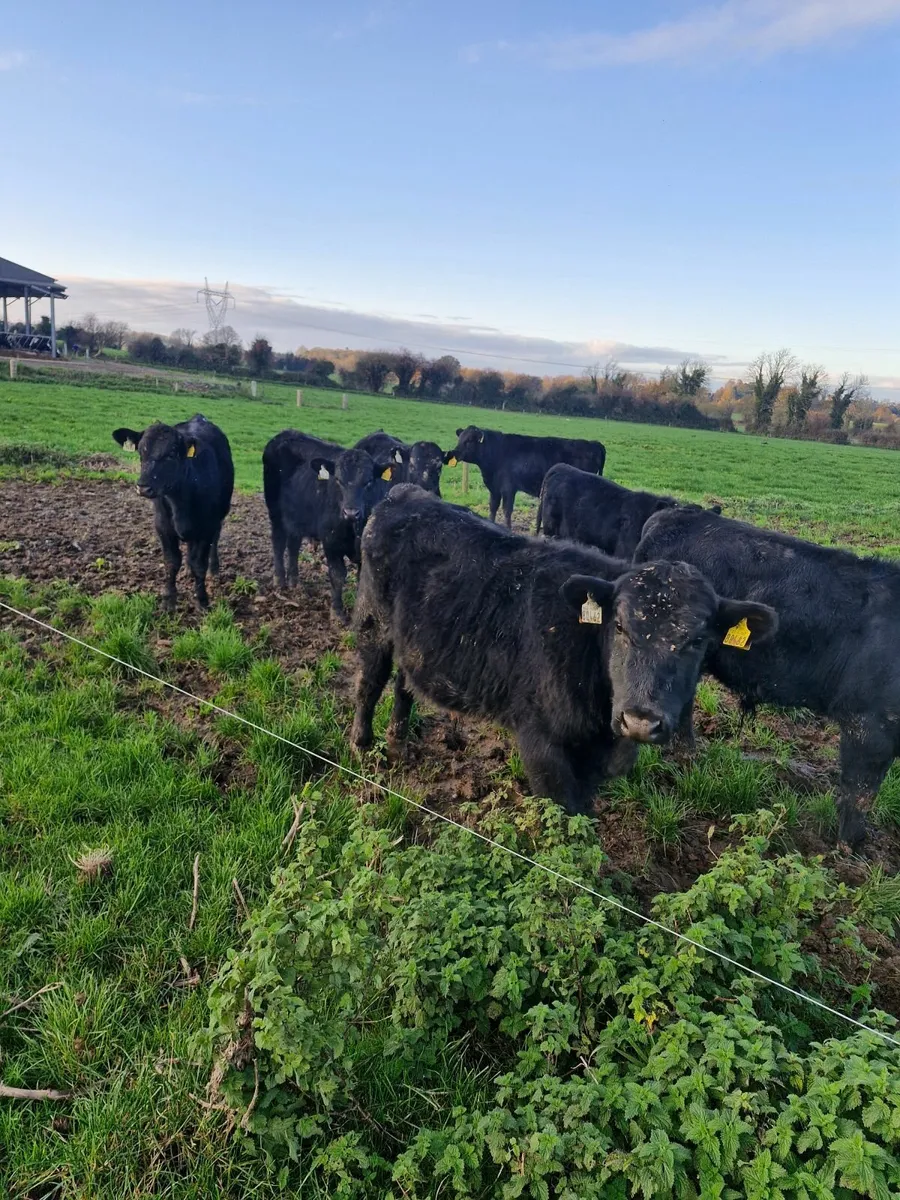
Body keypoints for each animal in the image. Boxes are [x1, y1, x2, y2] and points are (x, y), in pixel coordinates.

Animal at [112, 414, 234, 612]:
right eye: (141, 453)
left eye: (170, 455)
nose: (143, 487)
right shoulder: (163, 526)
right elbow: (171, 562)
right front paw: (168, 600)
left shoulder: (207, 527)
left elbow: (200, 564)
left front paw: (202, 601)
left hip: (221, 513)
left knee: (215, 539)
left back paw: (213, 569)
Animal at [262, 430, 396, 622]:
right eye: (338, 480)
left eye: (369, 481)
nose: (351, 512)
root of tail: (285, 434)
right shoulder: (330, 541)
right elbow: (337, 575)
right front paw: (337, 612)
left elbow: (361, 579)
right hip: (275, 511)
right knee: (278, 542)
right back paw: (280, 580)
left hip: (297, 517)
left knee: (293, 545)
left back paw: (294, 582)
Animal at [351, 484, 776, 815]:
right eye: (618, 626)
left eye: (698, 641)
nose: (641, 720)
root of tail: (405, 493)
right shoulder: (541, 742)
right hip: (373, 625)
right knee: (369, 684)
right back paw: (362, 746)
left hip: (414, 642)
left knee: (404, 684)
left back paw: (399, 744)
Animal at [442, 426, 607, 528]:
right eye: (459, 438)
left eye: (469, 440)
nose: (454, 452)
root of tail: (594, 443)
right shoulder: (494, 488)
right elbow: (493, 508)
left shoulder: (508, 488)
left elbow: (507, 510)